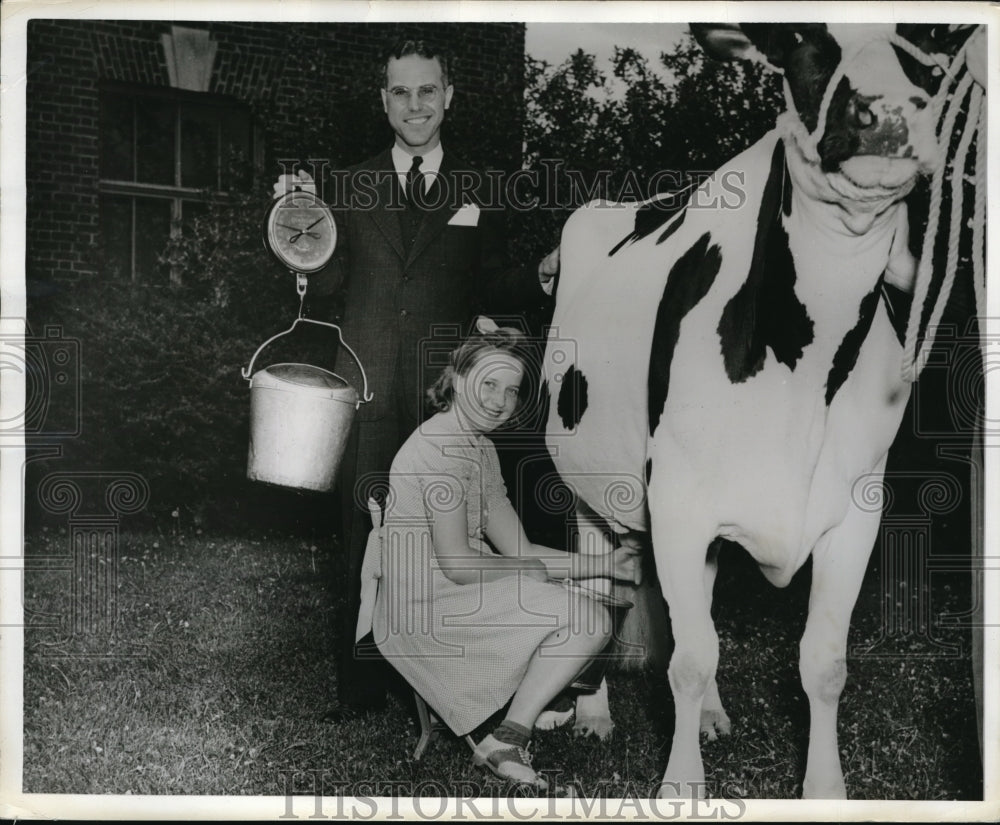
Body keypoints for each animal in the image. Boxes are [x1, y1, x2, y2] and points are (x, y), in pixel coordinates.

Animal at [544, 24, 980, 800]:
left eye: (928, 58)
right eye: (805, 47)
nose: (886, 113)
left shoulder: (855, 505)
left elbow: (822, 663)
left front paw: (825, 790)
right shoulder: (677, 500)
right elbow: (686, 659)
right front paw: (680, 789)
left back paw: (712, 715)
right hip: (588, 489)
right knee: (604, 589)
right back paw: (594, 716)